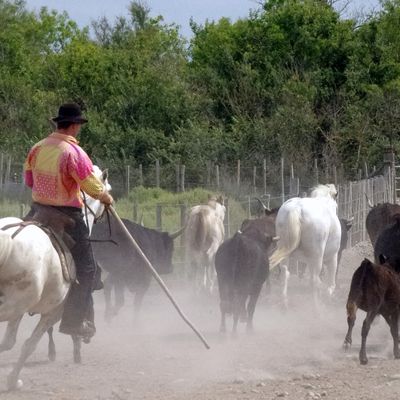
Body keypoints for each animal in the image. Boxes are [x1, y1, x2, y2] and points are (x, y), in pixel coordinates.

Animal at [0, 166, 110, 390]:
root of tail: (9, 238)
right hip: (14, 305)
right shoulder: (54, 312)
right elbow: (29, 345)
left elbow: (8, 343)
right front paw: (13, 380)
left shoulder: (20, 311)